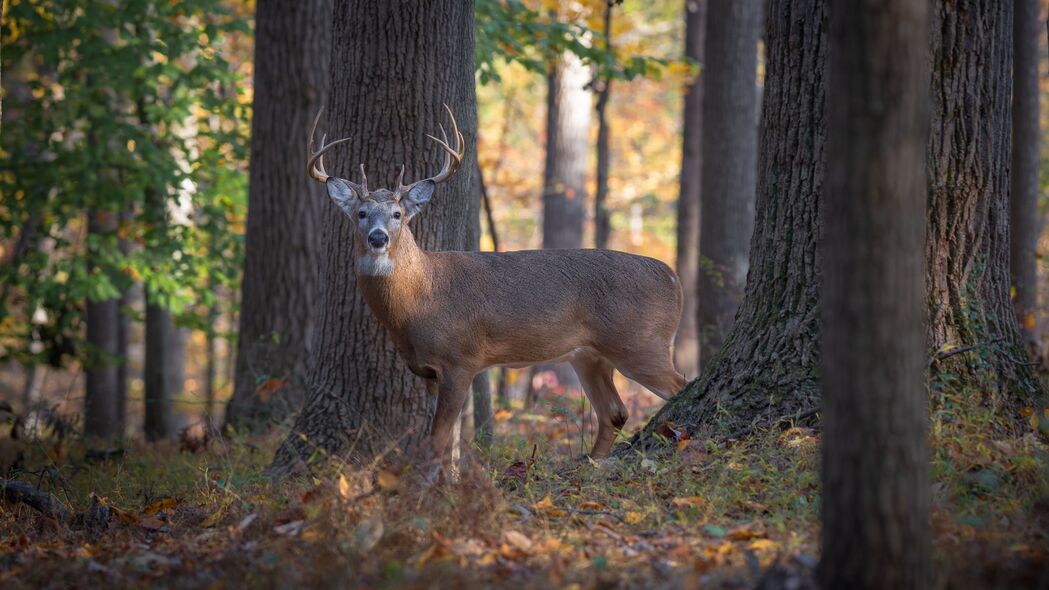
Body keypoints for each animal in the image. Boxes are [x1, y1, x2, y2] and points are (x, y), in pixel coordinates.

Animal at [306, 104, 683, 464]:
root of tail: (672, 277)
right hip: (589, 355)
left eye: (397, 215)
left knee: (677, 387)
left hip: (640, 341)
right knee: (614, 413)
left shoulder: (460, 359)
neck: (419, 301)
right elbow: (450, 444)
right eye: (361, 214)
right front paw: (450, 482)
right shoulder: (428, 372)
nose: (378, 237)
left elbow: (438, 441)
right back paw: (589, 465)